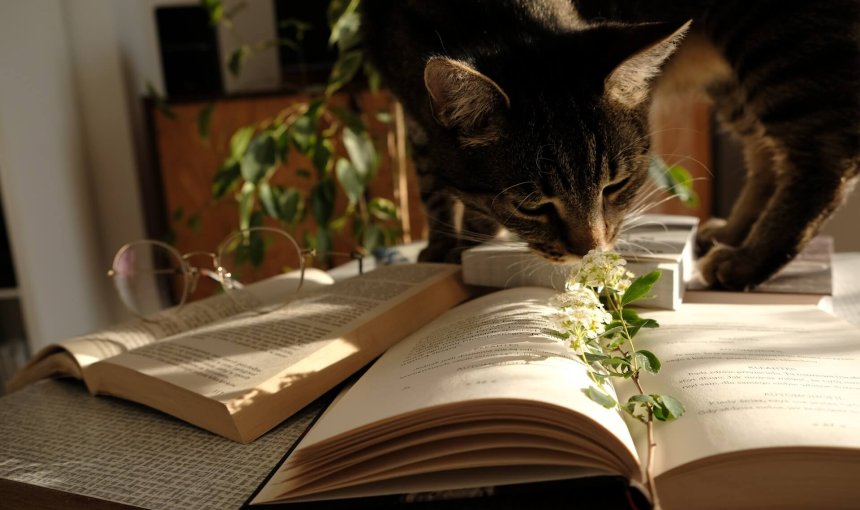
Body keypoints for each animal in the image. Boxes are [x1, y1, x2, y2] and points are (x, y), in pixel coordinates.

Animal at [362, 0, 860, 288]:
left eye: (615, 186)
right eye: (531, 206)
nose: (591, 251)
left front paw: (467, 242)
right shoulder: (408, 105)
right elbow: (431, 181)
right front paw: (441, 247)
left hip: (781, 44)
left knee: (825, 159)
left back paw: (746, 261)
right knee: (768, 154)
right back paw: (733, 234)